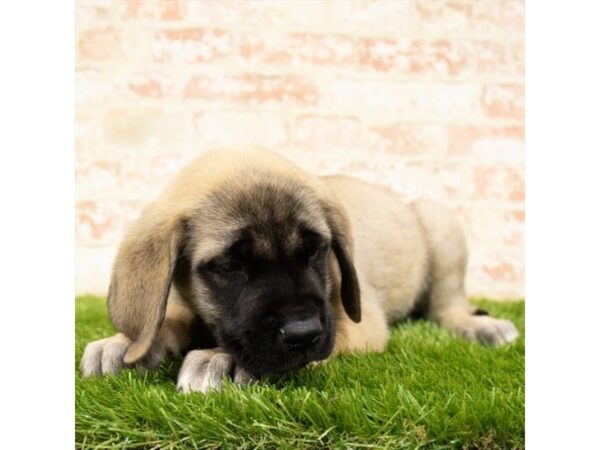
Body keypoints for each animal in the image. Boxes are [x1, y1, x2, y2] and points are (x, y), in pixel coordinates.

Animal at [81, 146, 520, 392]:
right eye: (229, 265)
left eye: (316, 251)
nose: (303, 333)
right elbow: (163, 321)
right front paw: (122, 344)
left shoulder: (358, 323)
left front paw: (226, 361)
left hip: (439, 220)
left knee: (448, 307)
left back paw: (483, 327)